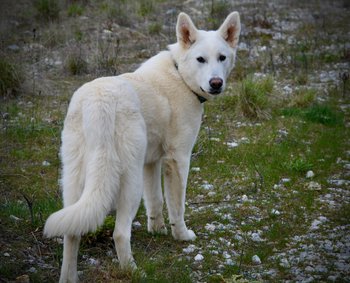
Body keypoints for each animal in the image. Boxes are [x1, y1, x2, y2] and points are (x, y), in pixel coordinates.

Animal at [44, 11, 241, 283]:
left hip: (75, 182)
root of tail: (99, 102)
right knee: (119, 233)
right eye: (200, 59)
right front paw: (181, 235)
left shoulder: (152, 162)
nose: (216, 83)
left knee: (72, 234)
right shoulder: (178, 160)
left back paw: (69, 277)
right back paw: (133, 271)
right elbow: (176, 206)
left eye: (222, 57)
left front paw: (157, 230)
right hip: (130, 180)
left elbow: (156, 201)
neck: (180, 75)